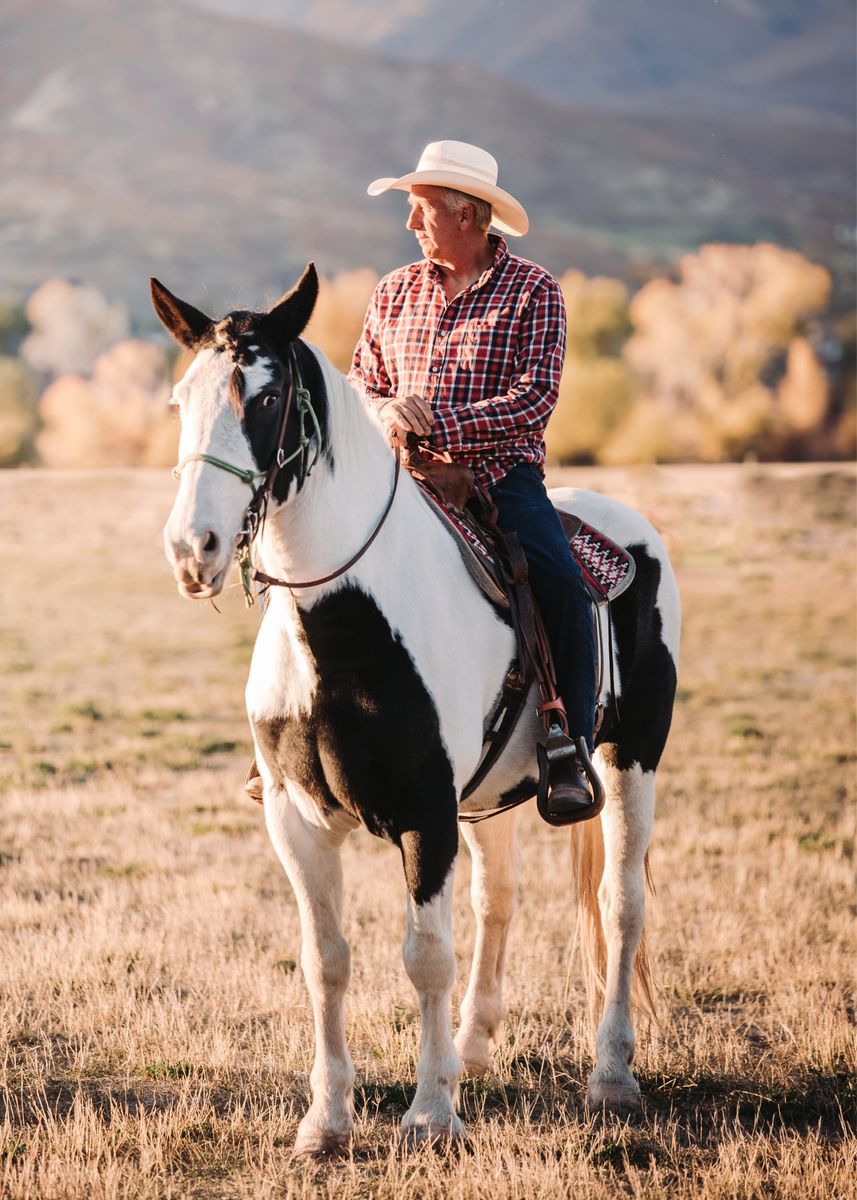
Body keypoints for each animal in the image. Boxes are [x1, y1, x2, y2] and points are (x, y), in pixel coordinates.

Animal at [152, 263, 680, 1155]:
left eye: (265, 396)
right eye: (179, 399)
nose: (195, 551)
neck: (341, 628)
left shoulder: (425, 816)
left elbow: (425, 953)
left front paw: (432, 1114)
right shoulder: (294, 819)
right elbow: (325, 958)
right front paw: (327, 1121)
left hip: (628, 757)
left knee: (620, 903)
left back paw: (611, 1074)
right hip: (497, 794)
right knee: (496, 901)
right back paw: (474, 1048)